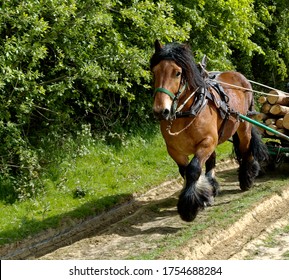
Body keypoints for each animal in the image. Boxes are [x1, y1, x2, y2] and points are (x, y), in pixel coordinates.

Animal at [150, 40, 266, 222]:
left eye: (177, 73)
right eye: (154, 72)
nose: (160, 111)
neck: (187, 111)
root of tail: (239, 75)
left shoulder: (207, 142)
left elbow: (193, 169)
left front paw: (189, 208)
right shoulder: (174, 150)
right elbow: (185, 171)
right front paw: (203, 196)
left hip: (243, 126)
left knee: (246, 149)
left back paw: (247, 178)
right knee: (212, 159)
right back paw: (213, 186)